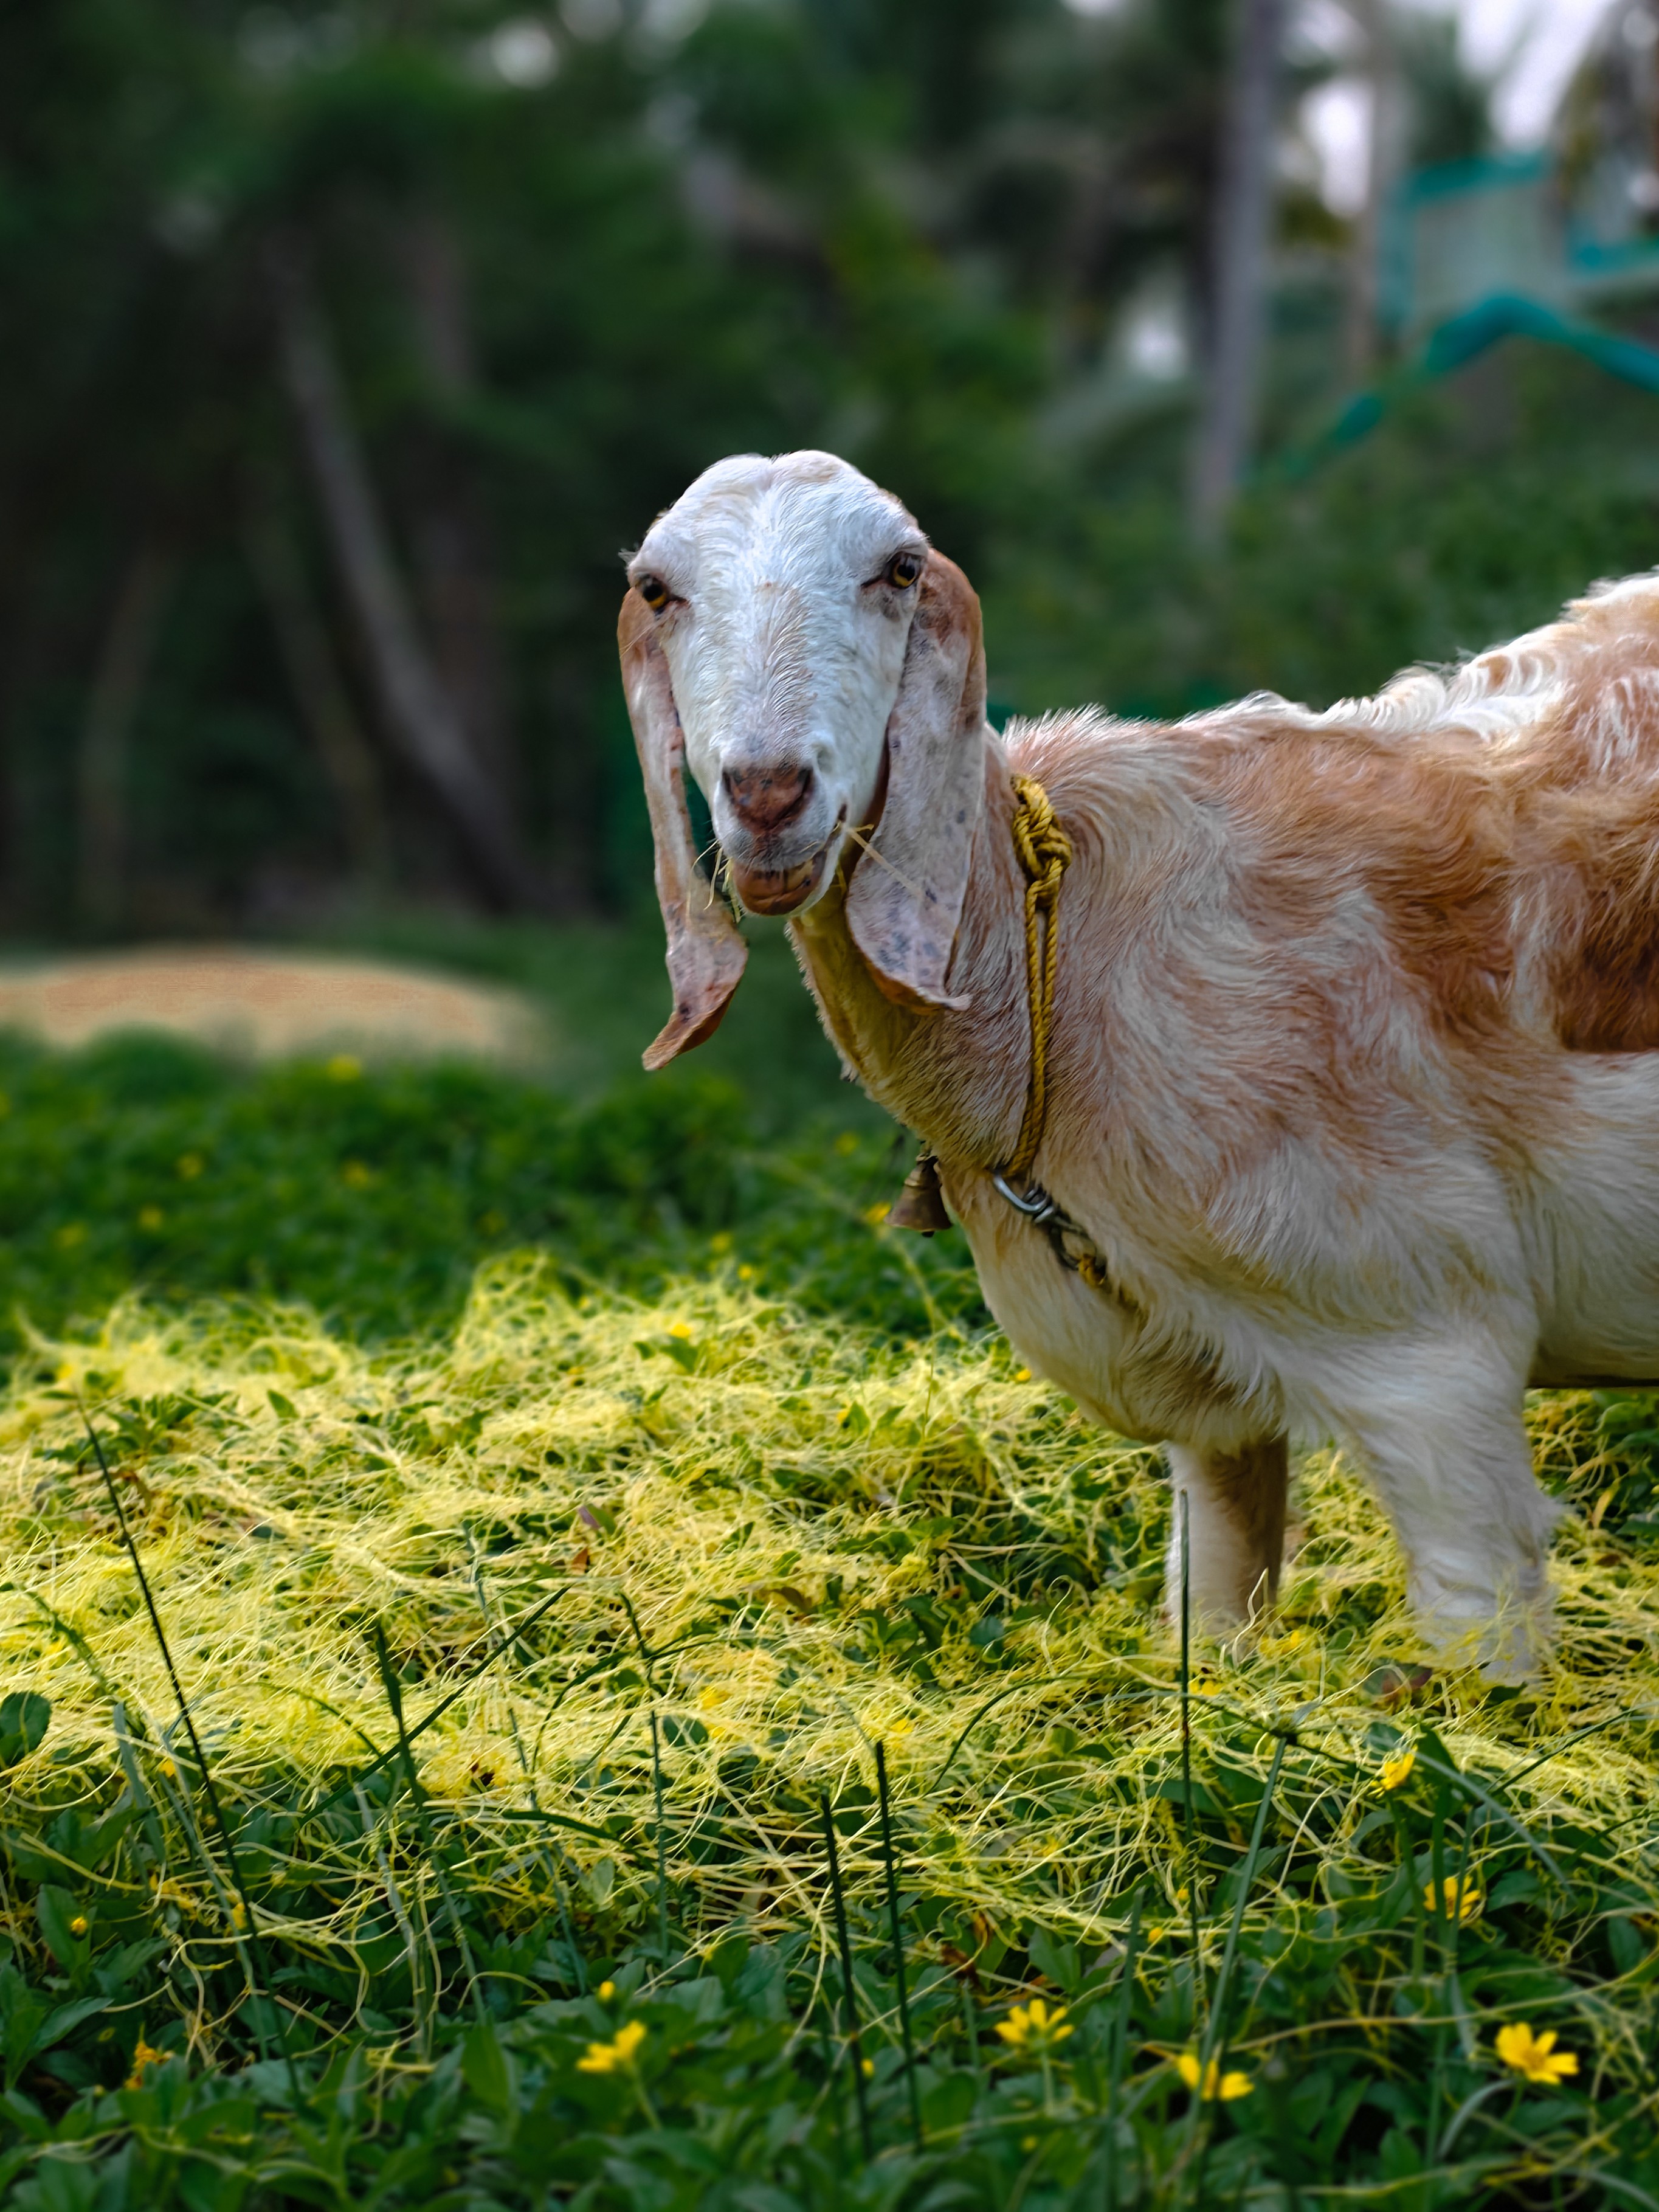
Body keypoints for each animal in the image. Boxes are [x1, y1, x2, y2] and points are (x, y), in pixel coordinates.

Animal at [620, 447, 1659, 1679]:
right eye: (656, 589)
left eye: (898, 569)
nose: (769, 793)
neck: (1055, 975)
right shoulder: (1208, 1398)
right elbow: (1211, 1616)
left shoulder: (1428, 1355)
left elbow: (1479, 1652)